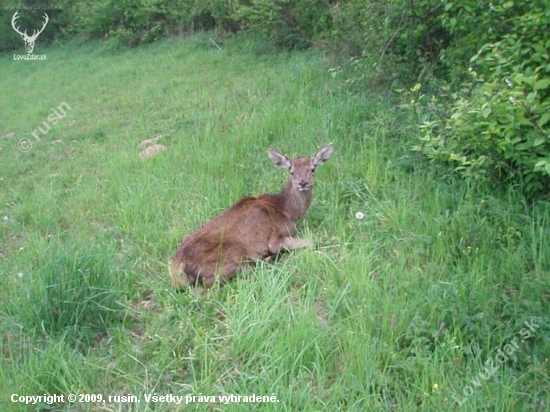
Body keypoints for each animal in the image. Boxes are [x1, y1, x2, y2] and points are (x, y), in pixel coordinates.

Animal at [168, 143, 334, 288]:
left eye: (313, 169)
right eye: (291, 171)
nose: (303, 183)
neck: (287, 211)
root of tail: (178, 270)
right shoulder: (276, 237)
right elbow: (311, 242)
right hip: (233, 252)